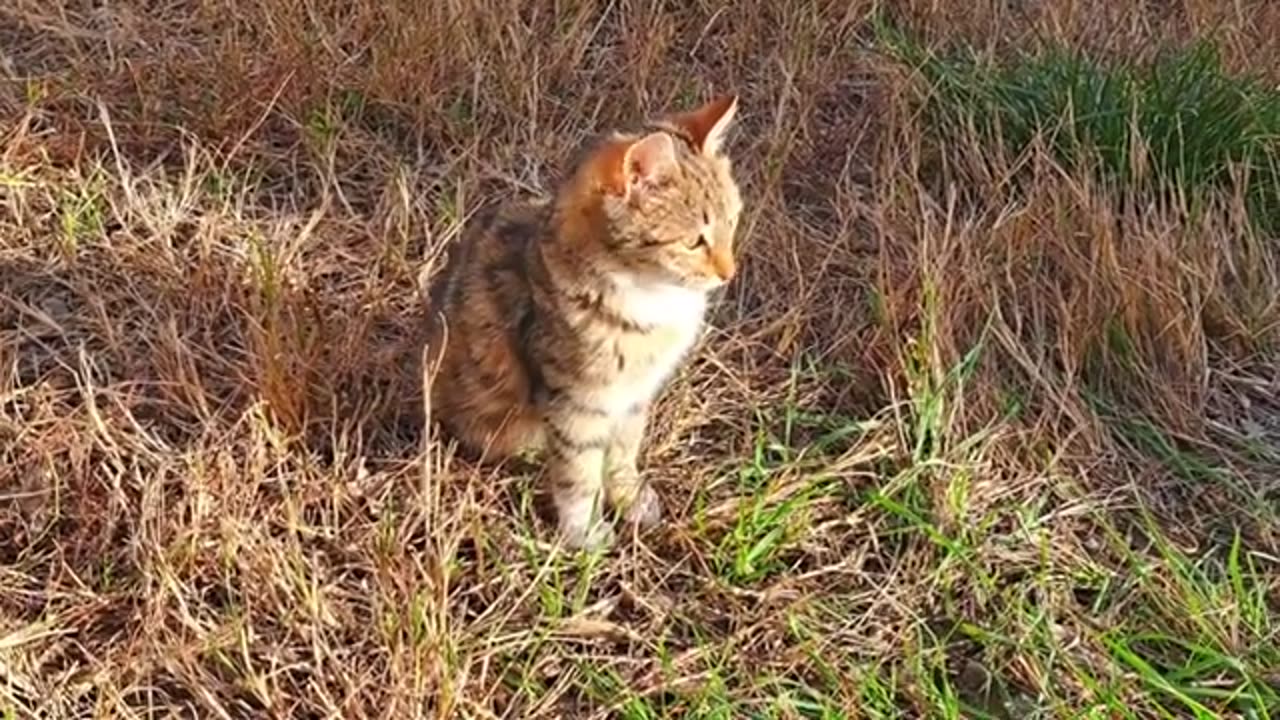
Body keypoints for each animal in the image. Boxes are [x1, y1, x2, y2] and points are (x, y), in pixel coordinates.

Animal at [422, 94, 742, 543]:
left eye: (733, 221)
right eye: (694, 241)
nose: (729, 272)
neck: (650, 297)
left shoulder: (633, 396)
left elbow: (624, 451)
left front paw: (629, 498)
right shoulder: (578, 402)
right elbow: (578, 473)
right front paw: (584, 533)